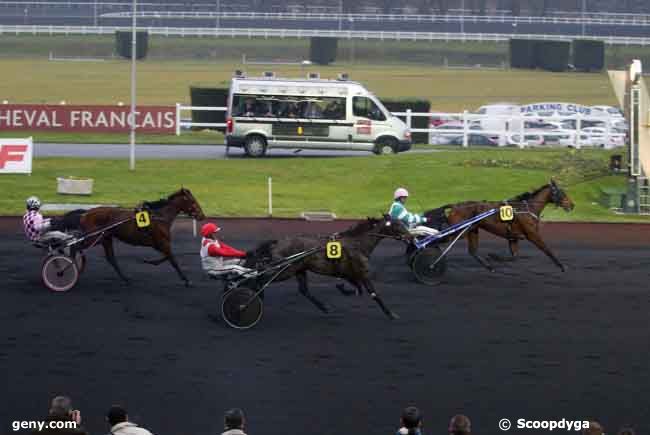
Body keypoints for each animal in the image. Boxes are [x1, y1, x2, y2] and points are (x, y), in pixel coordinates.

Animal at [69, 187, 204, 286]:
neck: (159, 216)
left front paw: (151, 261)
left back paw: (125, 279)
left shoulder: (159, 244)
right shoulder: (162, 242)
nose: (202, 216)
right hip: (94, 237)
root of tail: (85, 213)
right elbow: (172, 259)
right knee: (74, 247)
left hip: (105, 238)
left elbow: (168, 257)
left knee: (111, 258)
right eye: (193, 201)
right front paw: (186, 280)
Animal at [243, 215, 410, 320]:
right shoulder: (362, 272)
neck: (357, 243)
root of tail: (277, 242)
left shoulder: (351, 274)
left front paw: (344, 289)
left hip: (299, 269)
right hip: (285, 270)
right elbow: (373, 293)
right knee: (261, 278)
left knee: (303, 290)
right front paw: (391, 314)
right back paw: (250, 300)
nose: (410, 237)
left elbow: (357, 288)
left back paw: (324, 307)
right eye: (397, 225)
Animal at [422, 181, 576, 272]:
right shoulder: (532, 235)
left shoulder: (513, 238)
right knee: (437, 239)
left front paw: (494, 257)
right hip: (459, 231)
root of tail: (455, 206)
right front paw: (562, 266)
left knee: (472, 251)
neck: (527, 208)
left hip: (472, 230)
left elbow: (514, 256)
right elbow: (547, 249)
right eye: (561, 193)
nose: (572, 205)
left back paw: (489, 267)